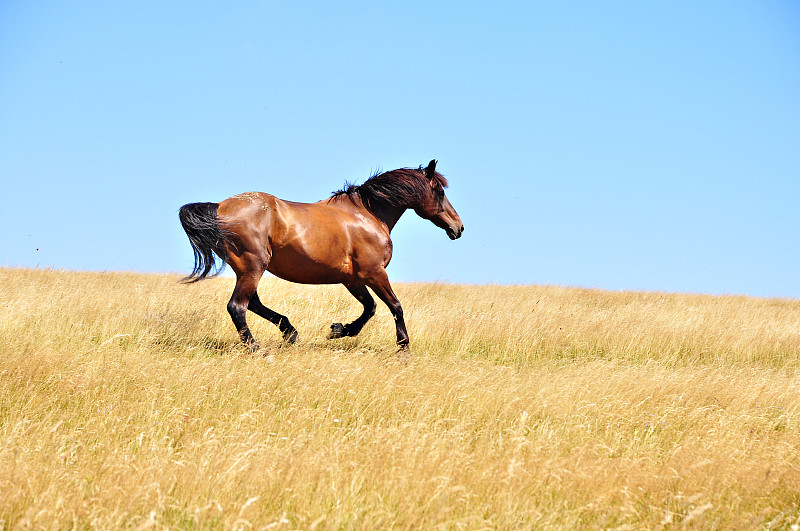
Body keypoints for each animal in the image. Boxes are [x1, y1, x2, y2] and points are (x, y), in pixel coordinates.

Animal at [175, 160, 462, 356]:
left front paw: (338, 330)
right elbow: (395, 306)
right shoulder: (374, 273)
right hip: (253, 268)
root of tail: (220, 207)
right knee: (238, 306)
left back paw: (290, 332)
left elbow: (369, 308)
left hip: (248, 270)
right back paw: (257, 348)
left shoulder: (352, 278)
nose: (458, 228)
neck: (367, 214)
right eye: (439, 191)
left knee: (252, 304)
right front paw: (403, 348)